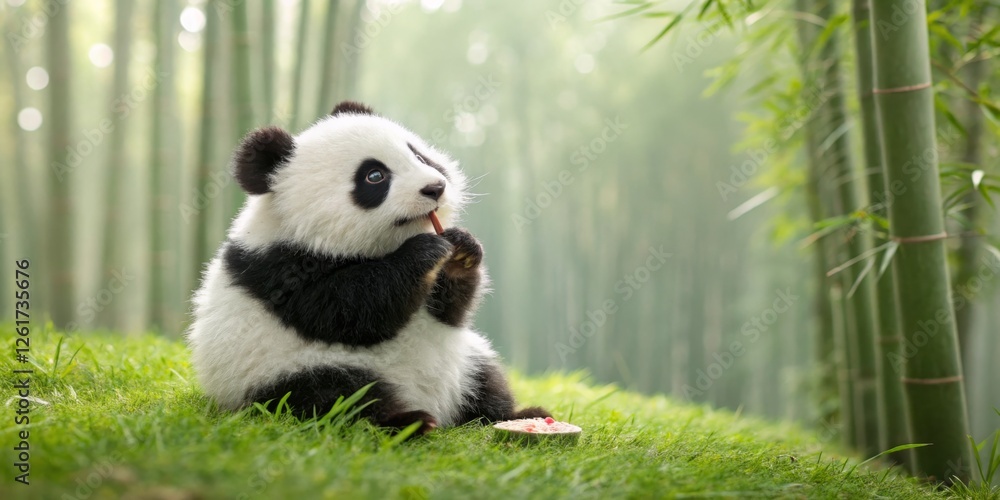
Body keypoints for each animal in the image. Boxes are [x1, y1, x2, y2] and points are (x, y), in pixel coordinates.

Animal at [186, 101, 549, 433]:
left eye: (419, 156)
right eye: (375, 176)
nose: (436, 188)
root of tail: (439, 407)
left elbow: (449, 311)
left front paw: (461, 250)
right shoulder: (281, 268)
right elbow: (350, 310)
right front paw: (423, 253)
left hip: (467, 359)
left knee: (486, 379)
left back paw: (516, 415)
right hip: (282, 371)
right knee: (337, 397)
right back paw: (409, 423)